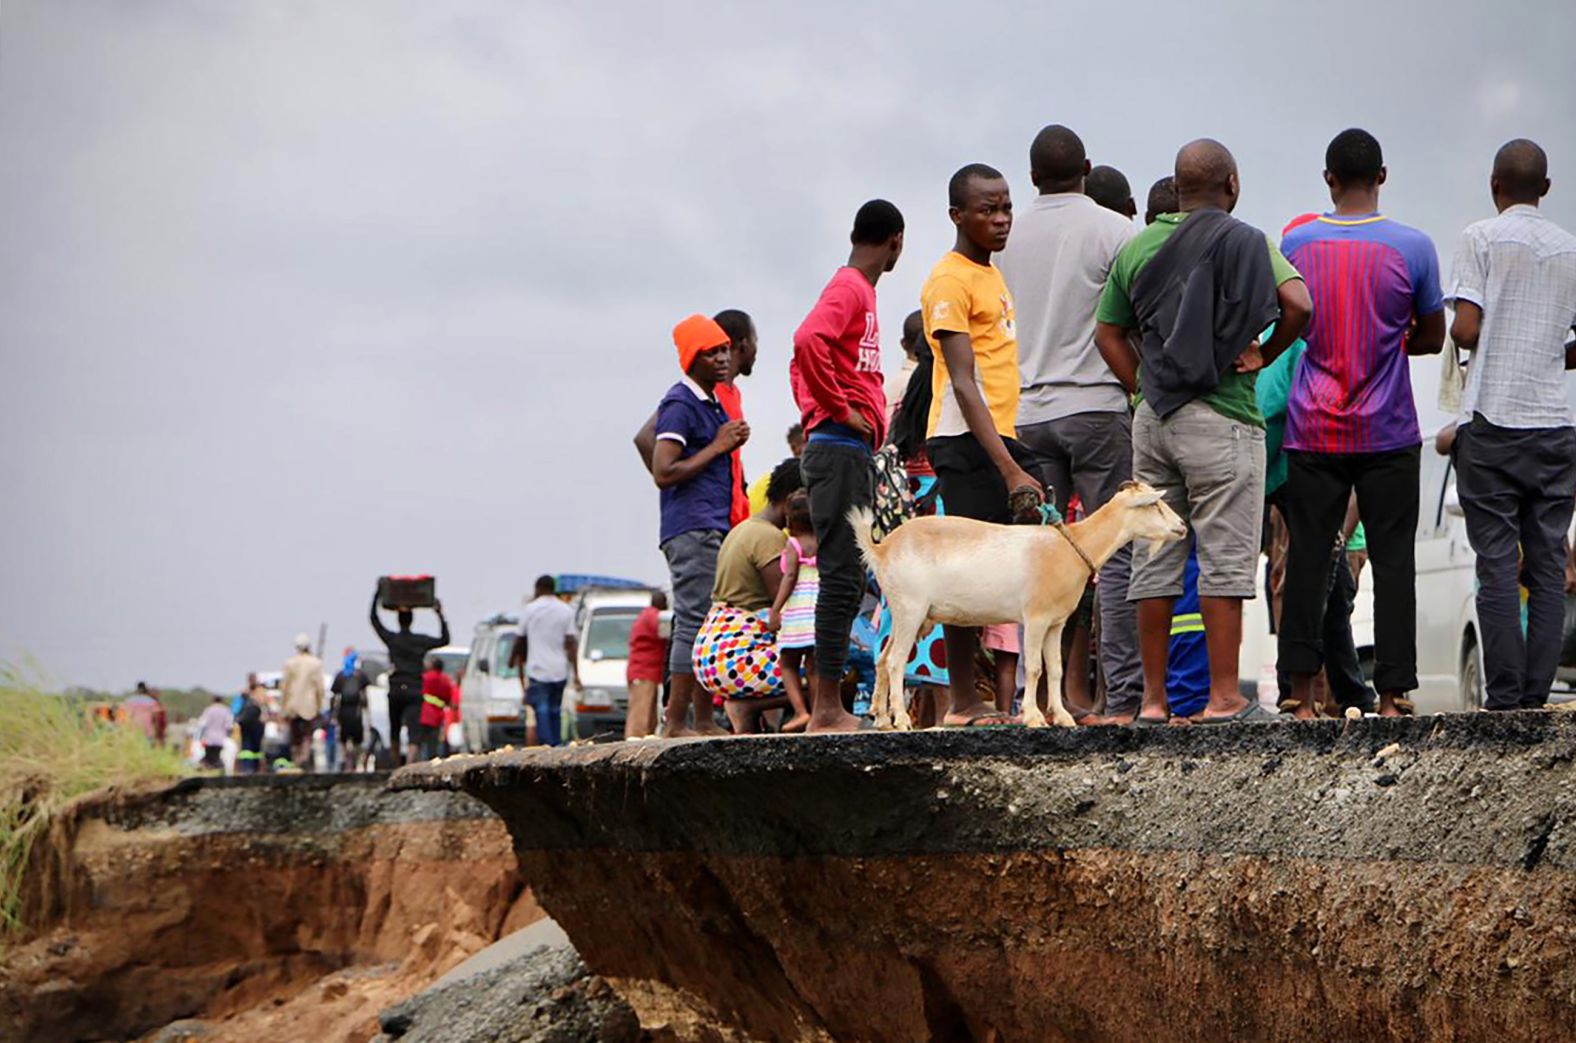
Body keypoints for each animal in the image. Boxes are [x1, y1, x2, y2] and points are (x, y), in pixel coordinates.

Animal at [857, 478, 1185, 727]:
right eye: (1154, 505)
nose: (1182, 526)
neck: (1071, 546)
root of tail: (882, 548)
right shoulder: (1035, 617)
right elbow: (1035, 668)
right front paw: (1034, 717)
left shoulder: (1056, 622)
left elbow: (1056, 669)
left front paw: (1063, 717)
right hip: (911, 607)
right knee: (897, 661)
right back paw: (901, 719)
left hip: (910, 614)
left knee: (883, 659)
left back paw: (881, 718)